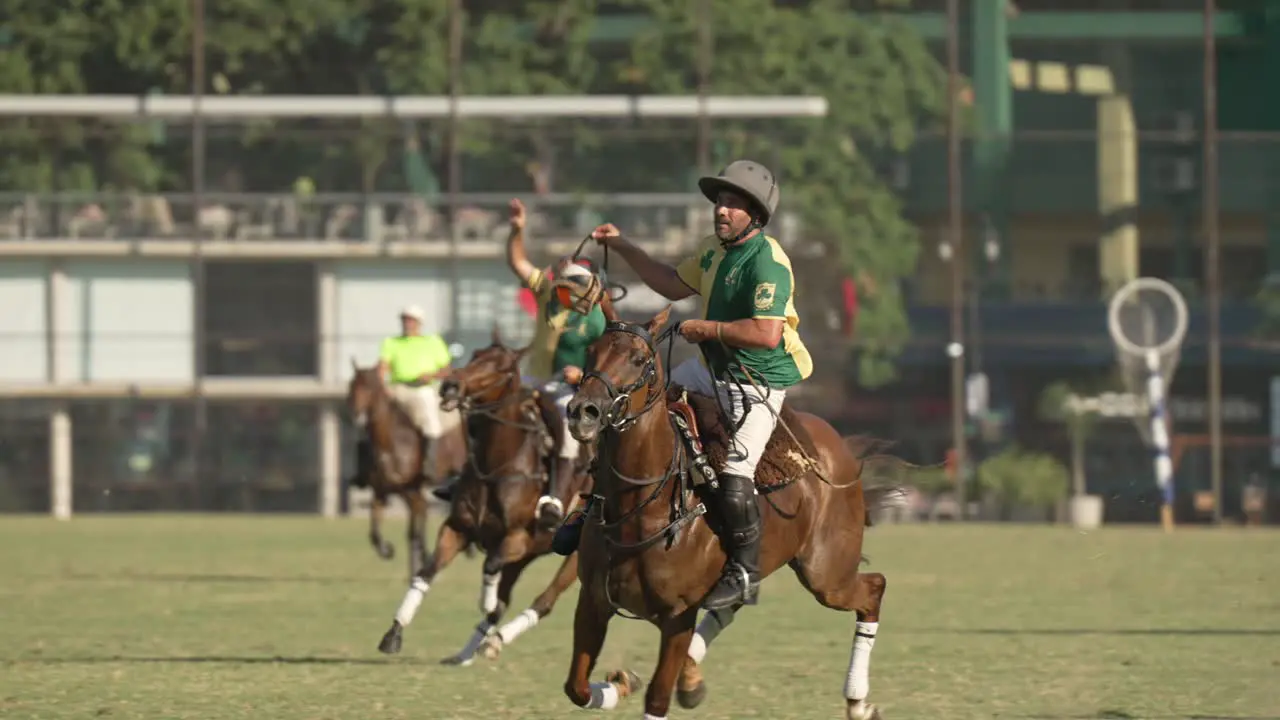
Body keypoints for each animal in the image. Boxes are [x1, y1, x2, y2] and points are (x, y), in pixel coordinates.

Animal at [348, 358, 468, 576]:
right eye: (351, 386)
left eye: (369, 387)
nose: (356, 415)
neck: (390, 444)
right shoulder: (381, 491)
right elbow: (375, 532)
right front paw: (387, 550)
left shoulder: (409, 490)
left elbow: (413, 531)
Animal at [376, 327, 596, 666]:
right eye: (475, 356)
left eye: (501, 368)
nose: (450, 386)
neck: (497, 467)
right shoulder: (457, 529)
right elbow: (426, 573)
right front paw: (394, 632)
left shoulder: (517, 539)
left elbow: (490, 568)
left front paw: (484, 601)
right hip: (527, 555)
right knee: (505, 601)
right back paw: (467, 653)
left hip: (571, 556)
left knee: (544, 600)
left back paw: (496, 639)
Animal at [565, 307, 906, 717]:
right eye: (591, 352)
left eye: (638, 359)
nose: (583, 412)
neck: (640, 508)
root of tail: (840, 448)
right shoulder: (593, 601)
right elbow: (577, 688)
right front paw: (620, 684)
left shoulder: (677, 617)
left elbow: (657, 698)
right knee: (734, 601)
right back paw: (691, 677)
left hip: (827, 572)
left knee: (874, 589)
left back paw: (857, 701)